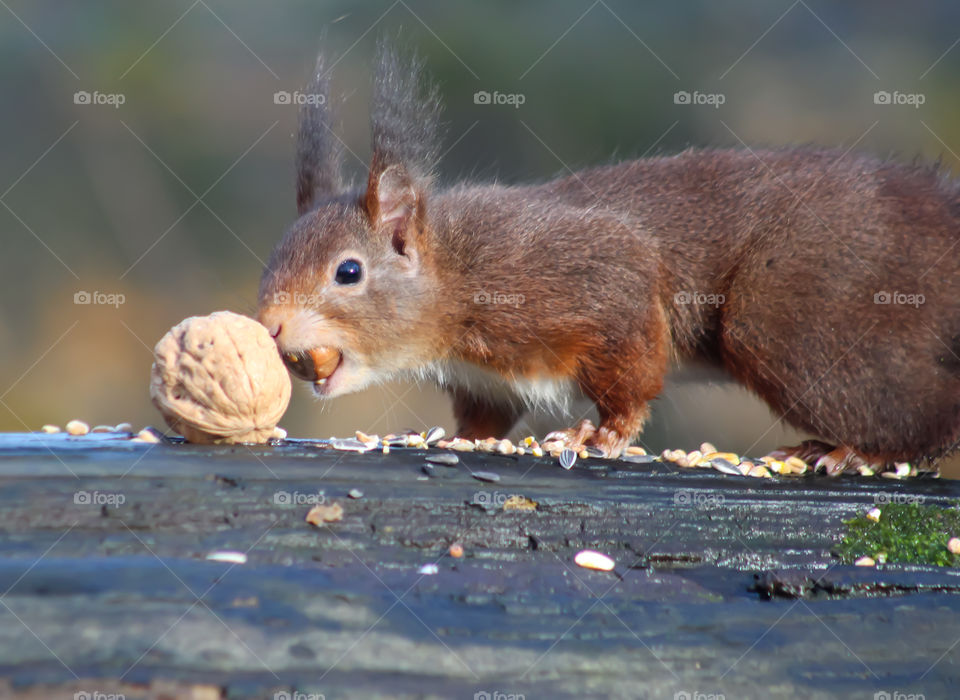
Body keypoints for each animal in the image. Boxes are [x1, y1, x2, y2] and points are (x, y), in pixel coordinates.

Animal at [257, 41, 960, 473]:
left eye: (348, 272)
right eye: (273, 261)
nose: (270, 327)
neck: (455, 276)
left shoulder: (588, 274)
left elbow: (633, 373)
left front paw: (599, 435)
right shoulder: (483, 380)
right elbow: (486, 419)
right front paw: (456, 440)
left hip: (793, 315)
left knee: (929, 408)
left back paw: (863, 452)